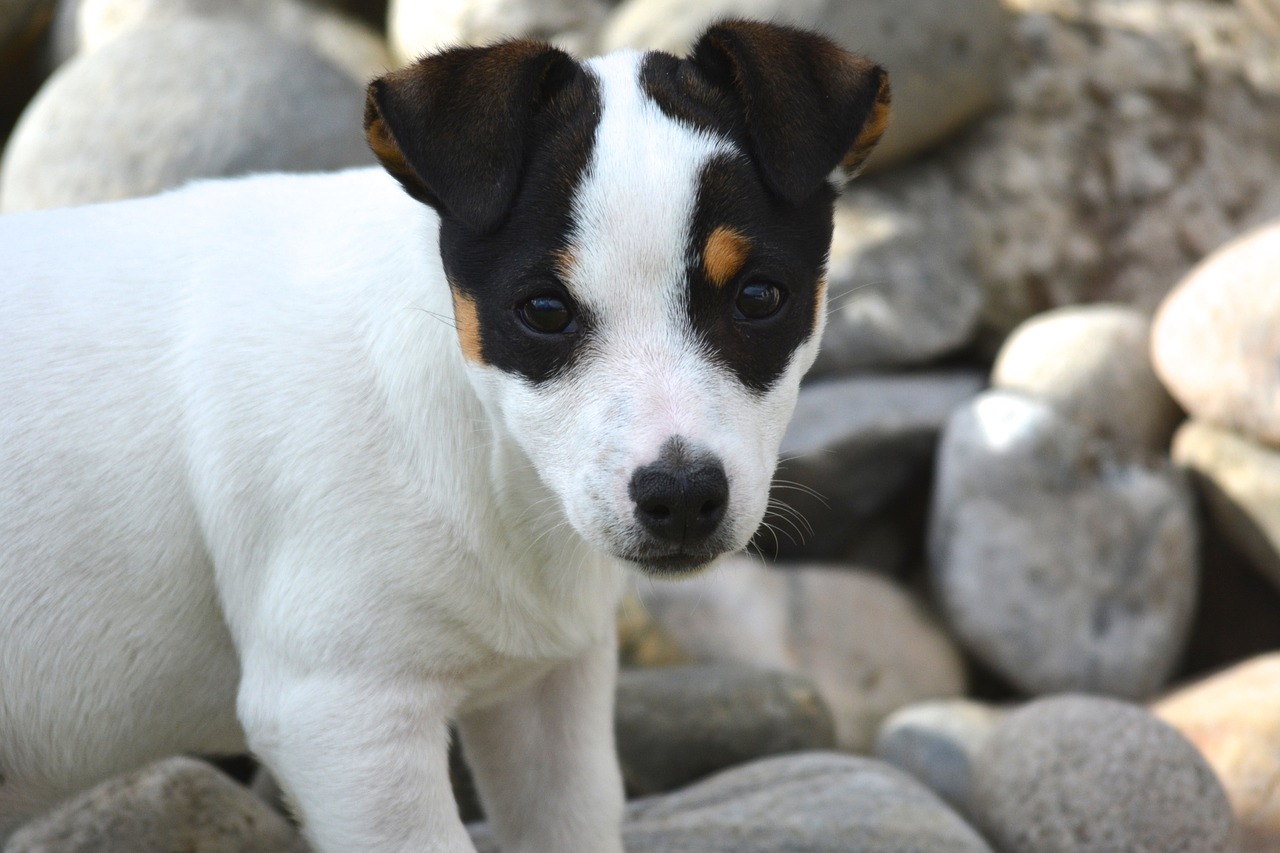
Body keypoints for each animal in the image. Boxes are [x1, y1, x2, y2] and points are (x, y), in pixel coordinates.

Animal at [0, 19, 890, 850]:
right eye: (543, 310)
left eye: (759, 296)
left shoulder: (544, 696)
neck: (491, 455)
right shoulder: (343, 714)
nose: (679, 498)